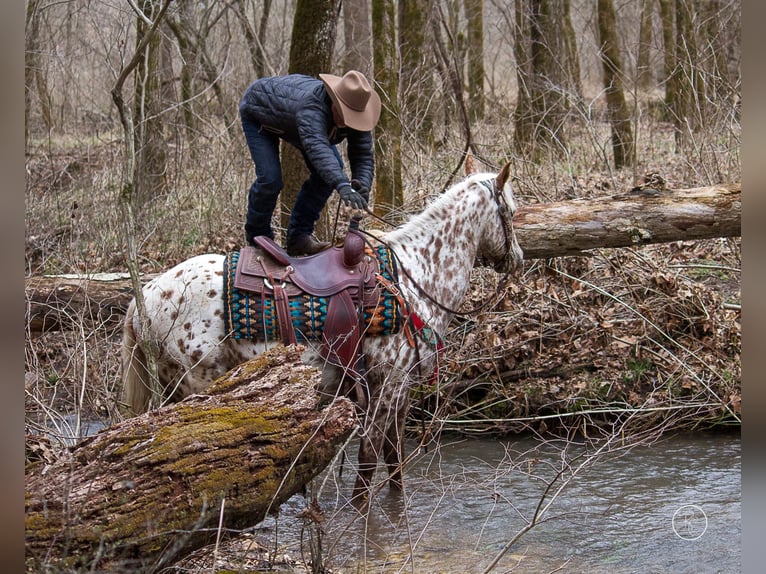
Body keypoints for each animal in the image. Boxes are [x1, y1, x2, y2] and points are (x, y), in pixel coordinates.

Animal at [121, 163, 528, 504]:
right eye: (509, 210)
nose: (519, 260)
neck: (414, 278)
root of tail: (146, 295)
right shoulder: (386, 385)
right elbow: (369, 461)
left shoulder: (400, 390)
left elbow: (394, 459)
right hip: (195, 387)